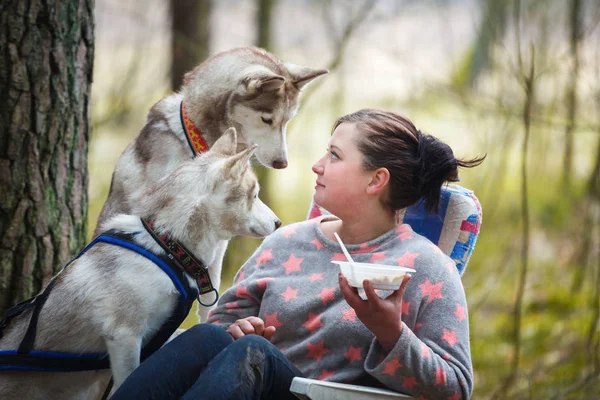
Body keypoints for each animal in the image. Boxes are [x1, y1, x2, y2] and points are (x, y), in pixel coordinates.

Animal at [95, 47, 328, 318]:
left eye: (286, 121)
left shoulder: (218, 242)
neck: (200, 145)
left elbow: (210, 293)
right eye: (267, 119)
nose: (282, 163)